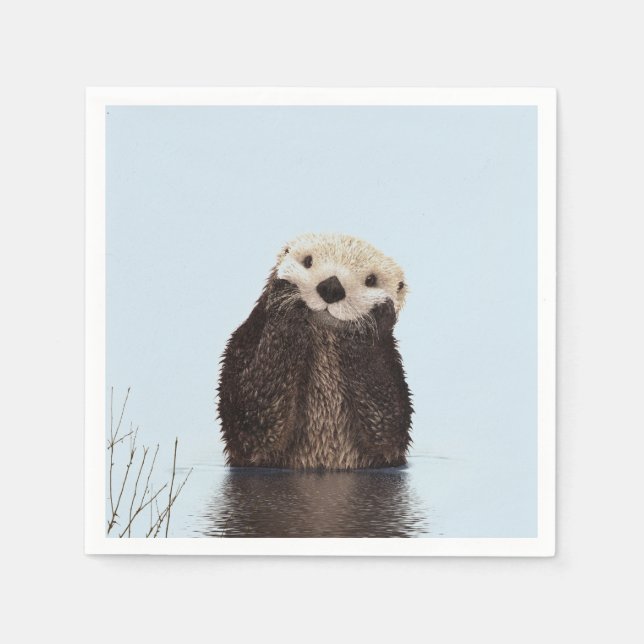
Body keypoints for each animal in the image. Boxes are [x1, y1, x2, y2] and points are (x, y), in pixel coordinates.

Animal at [217, 233, 412, 469]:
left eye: (371, 280)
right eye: (308, 261)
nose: (332, 287)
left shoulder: (392, 370)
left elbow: (388, 426)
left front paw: (371, 320)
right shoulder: (244, 343)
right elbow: (251, 417)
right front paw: (286, 299)